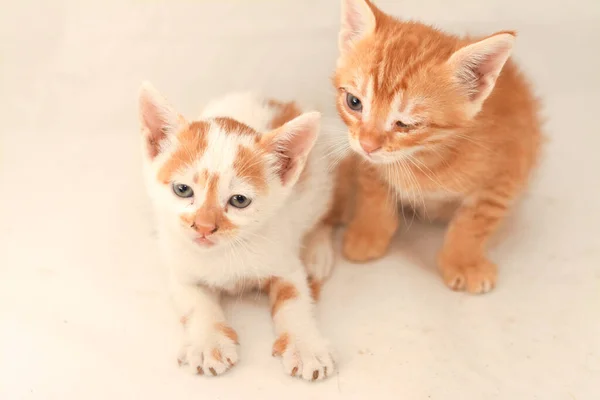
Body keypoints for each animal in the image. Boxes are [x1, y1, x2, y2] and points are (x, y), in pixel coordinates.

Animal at [139, 83, 338, 380]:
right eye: (182, 190)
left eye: (239, 200)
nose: (204, 226)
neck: (225, 252)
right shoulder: (180, 267)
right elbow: (196, 301)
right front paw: (208, 341)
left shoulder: (283, 259)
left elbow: (295, 299)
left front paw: (305, 347)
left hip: (320, 180)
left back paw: (317, 253)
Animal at [332, 0, 544, 294]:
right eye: (354, 102)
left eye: (406, 124)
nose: (367, 145)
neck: (423, 159)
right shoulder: (368, 162)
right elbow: (373, 193)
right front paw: (369, 231)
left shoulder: (507, 172)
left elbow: (476, 220)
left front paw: (464, 261)